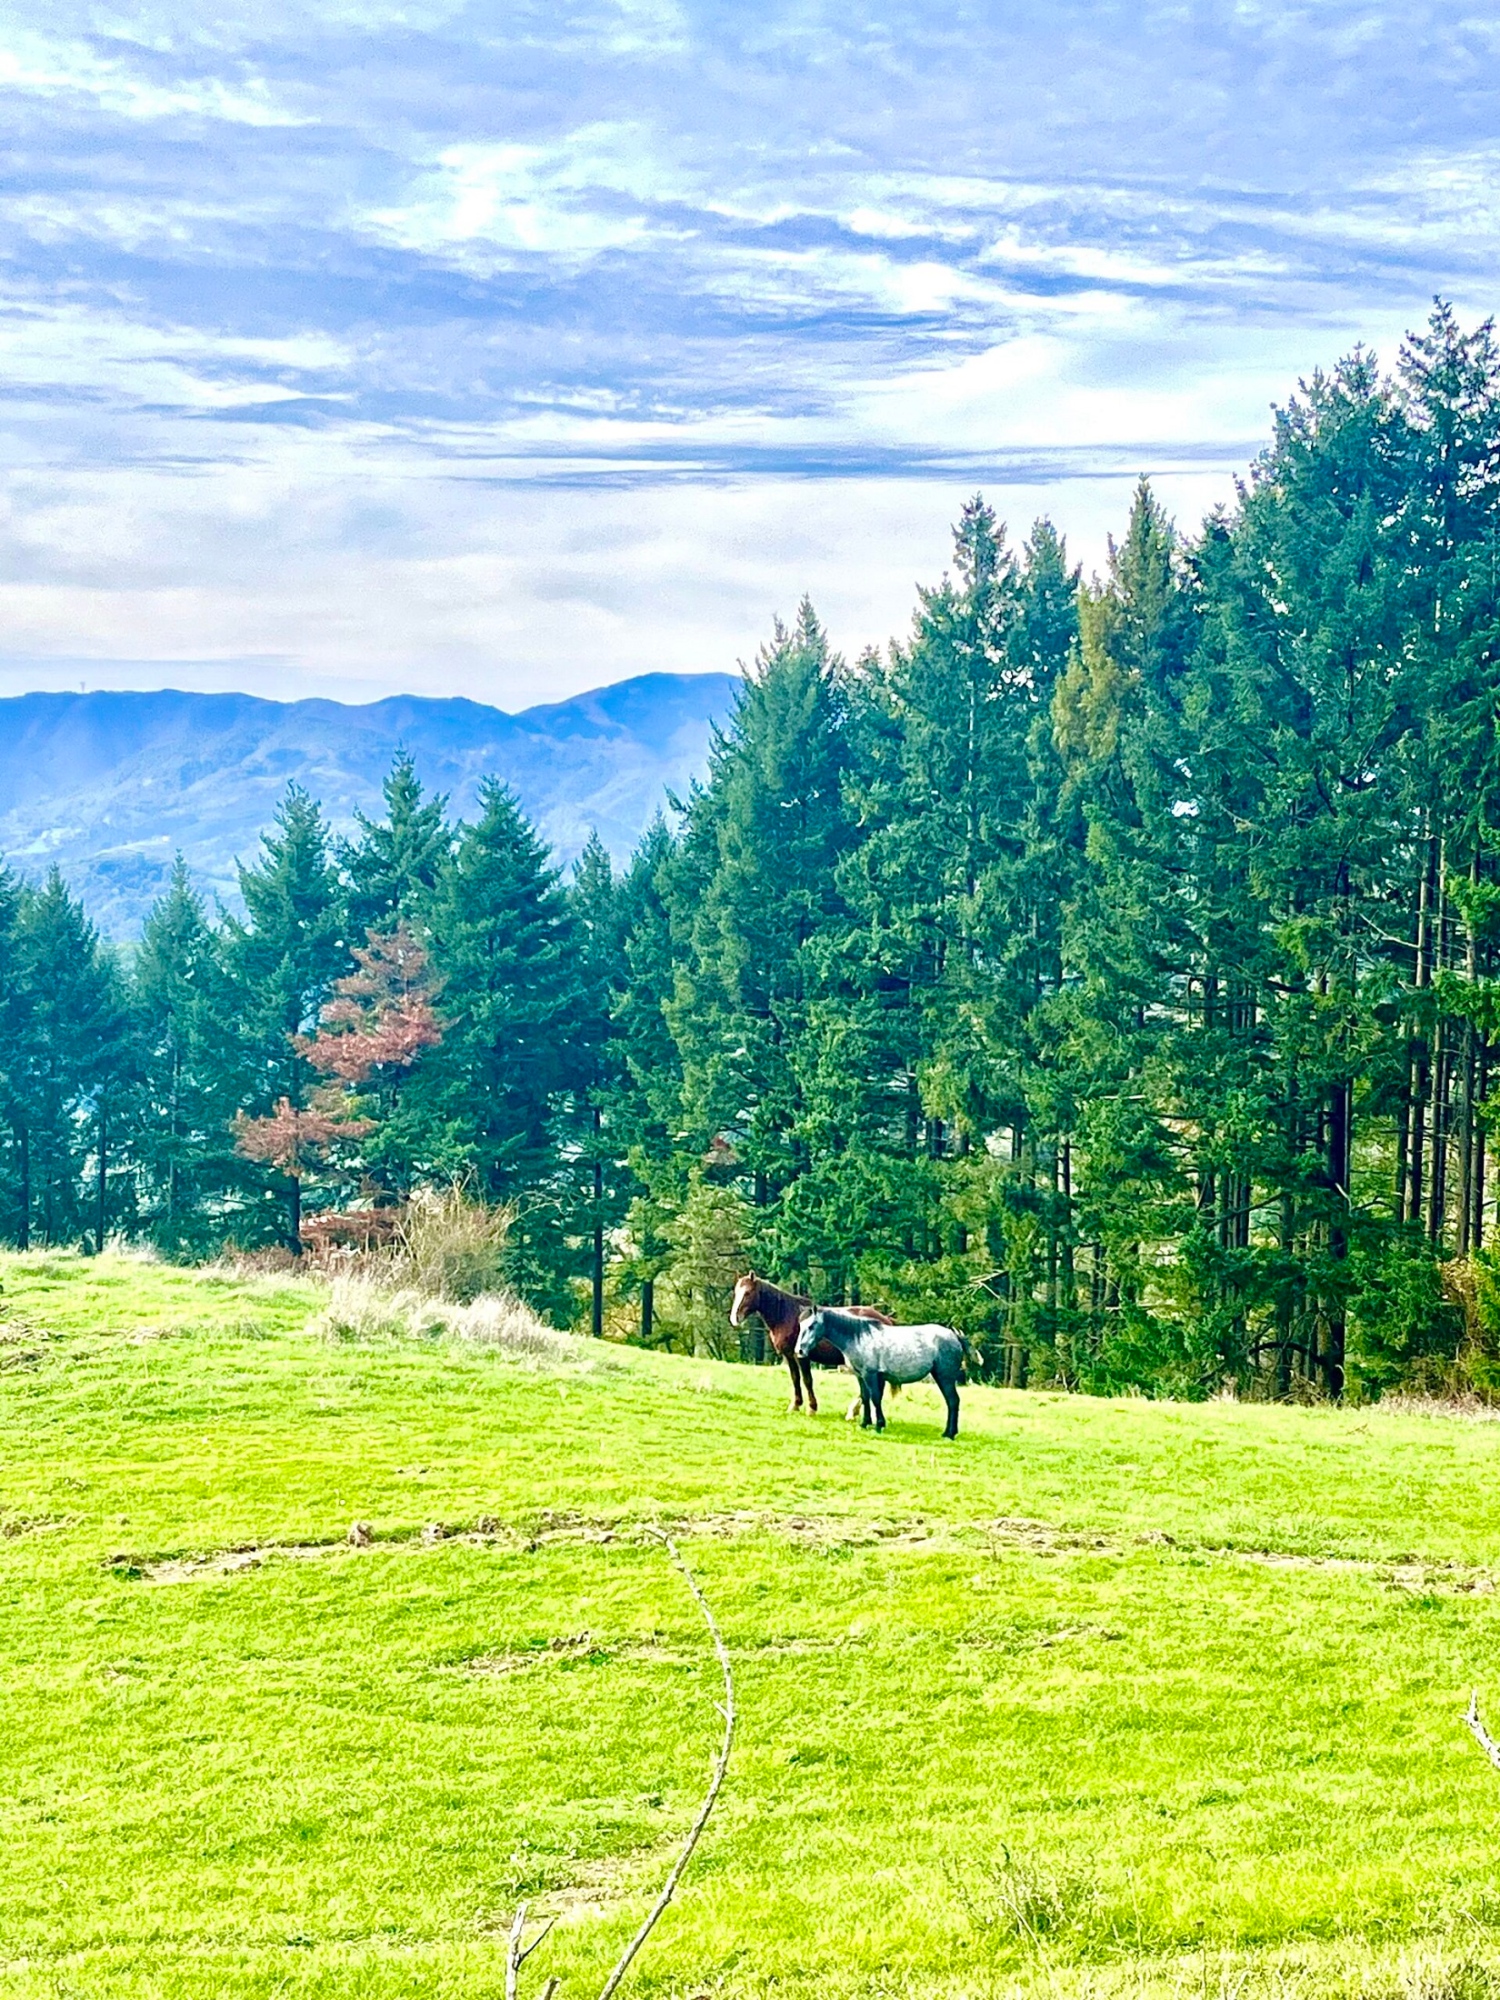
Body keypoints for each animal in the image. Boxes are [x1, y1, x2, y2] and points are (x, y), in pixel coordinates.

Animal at [736, 1272, 900, 1416]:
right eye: (736, 1292)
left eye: (748, 1293)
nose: (735, 1317)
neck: (788, 1315)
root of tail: (885, 1319)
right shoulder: (789, 1356)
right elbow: (795, 1378)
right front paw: (795, 1405)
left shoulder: (801, 1356)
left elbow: (807, 1380)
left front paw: (812, 1408)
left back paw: (854, 1410)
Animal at [800, 1312, 964, 1440]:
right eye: (801, 1326)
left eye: (811, 1326)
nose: (800, 1350)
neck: (859, 1338)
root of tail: (955, 1336)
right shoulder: (861, 1376)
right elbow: (865, 1398)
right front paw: (865, 1423)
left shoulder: (871, 1375)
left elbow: (875, 1398)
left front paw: (879, 1425)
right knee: (951, 1402)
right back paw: (948, 1433)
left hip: (945, 1377)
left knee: (953, 1401)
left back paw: (949, 1434)